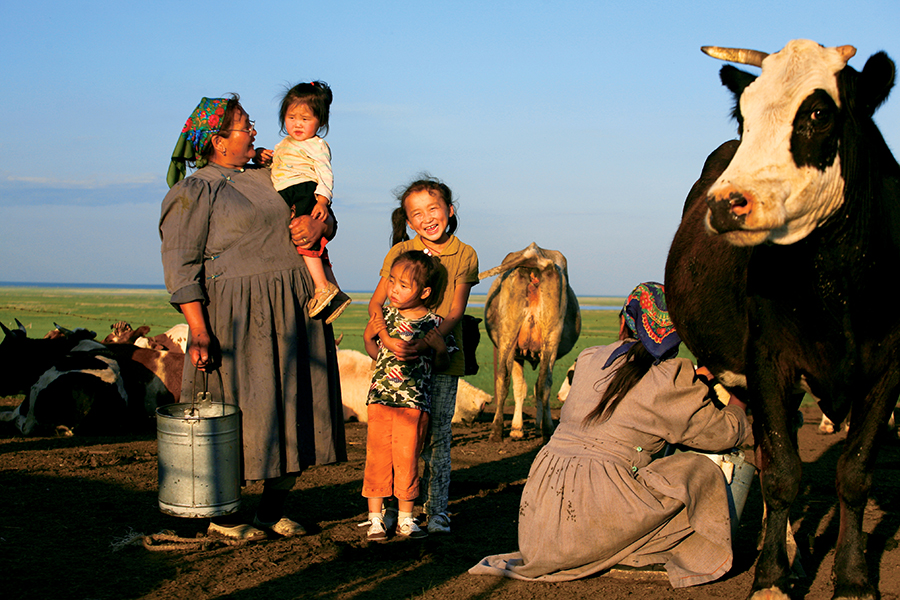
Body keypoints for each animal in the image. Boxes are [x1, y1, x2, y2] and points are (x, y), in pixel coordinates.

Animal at [482, 241, 580, 442]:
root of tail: (536, 254)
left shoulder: (517, 353)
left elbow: (521, 387)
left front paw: (518, 428)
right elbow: (527, 387)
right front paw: (527, 426)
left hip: (510, 334)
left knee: (504, 379)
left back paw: (496, 431)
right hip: (550, 336)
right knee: (544, 382)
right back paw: (547, 429)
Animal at [664, 38, 896, 600]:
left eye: (817, 113)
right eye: (743, 118)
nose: (727, 204)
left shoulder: (890, 366)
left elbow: (855, 474)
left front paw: (853, 578)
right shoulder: (768, 362)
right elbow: (783, 474)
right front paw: (770, 578)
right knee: (771, 458)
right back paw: (786, 557)